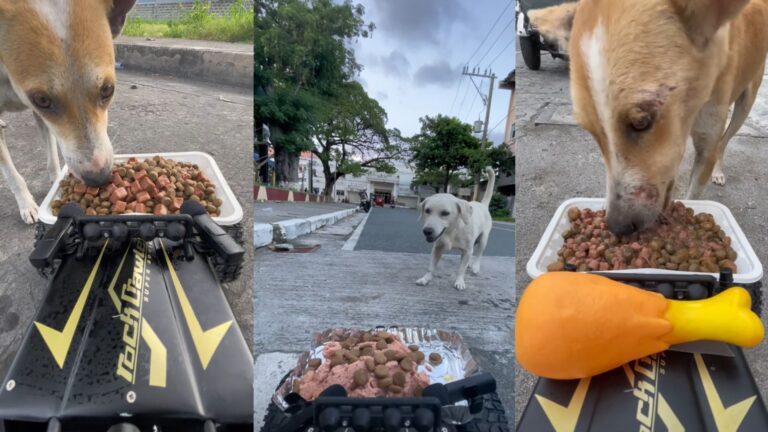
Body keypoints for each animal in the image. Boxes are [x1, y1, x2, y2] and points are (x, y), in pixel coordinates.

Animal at [0, 0, 136, 223]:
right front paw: (27, 204)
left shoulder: (41, 118)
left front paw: (56, 183)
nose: (98, 178)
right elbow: (12, 174)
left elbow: (52, 155)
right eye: (42, 100)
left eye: (108, 89)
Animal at [532, 0, 768, 235]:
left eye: (641, 122)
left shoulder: (706, 146)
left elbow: (696, 186)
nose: (617, 227)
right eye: (592, 132)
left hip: (745, 105)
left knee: (724, 141)